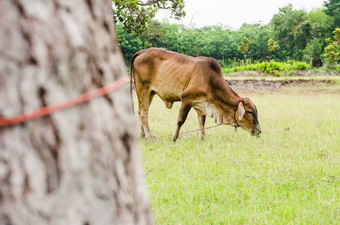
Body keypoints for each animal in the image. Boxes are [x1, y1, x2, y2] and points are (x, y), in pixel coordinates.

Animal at [130, 48, 260, 141]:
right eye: (250, 112)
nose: (259, 131)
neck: (210, 80)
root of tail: (141, 52)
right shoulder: (186, 99)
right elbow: (180, 120)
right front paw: (173, 138)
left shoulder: (201, 104)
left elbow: (201, 122)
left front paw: (202, 138)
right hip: (143, 88)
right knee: (144, 113)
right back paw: (149, 137)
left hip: (150, 93)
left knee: (142, 111)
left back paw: (142, 136)